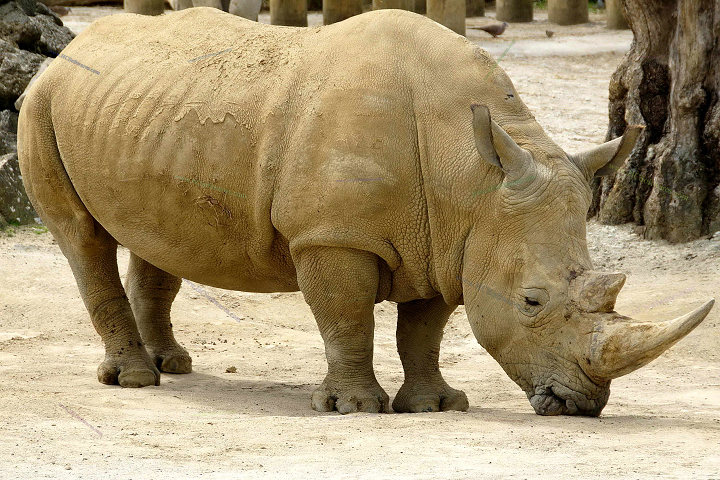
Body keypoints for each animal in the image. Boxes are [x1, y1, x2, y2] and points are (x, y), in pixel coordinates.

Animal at [17, 8, 713, 416]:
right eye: (532, 301)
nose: (581, 404)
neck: (473, 178)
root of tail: (73, 45)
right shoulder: (333, 236)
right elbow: (346, 316)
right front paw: (354, 408)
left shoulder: (447, 240)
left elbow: (424, 329)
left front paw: (436, 406)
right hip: (41, 102)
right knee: (82, 238)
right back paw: (136, 381)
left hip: (148, 115)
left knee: (156, 236)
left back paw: (174, 366)